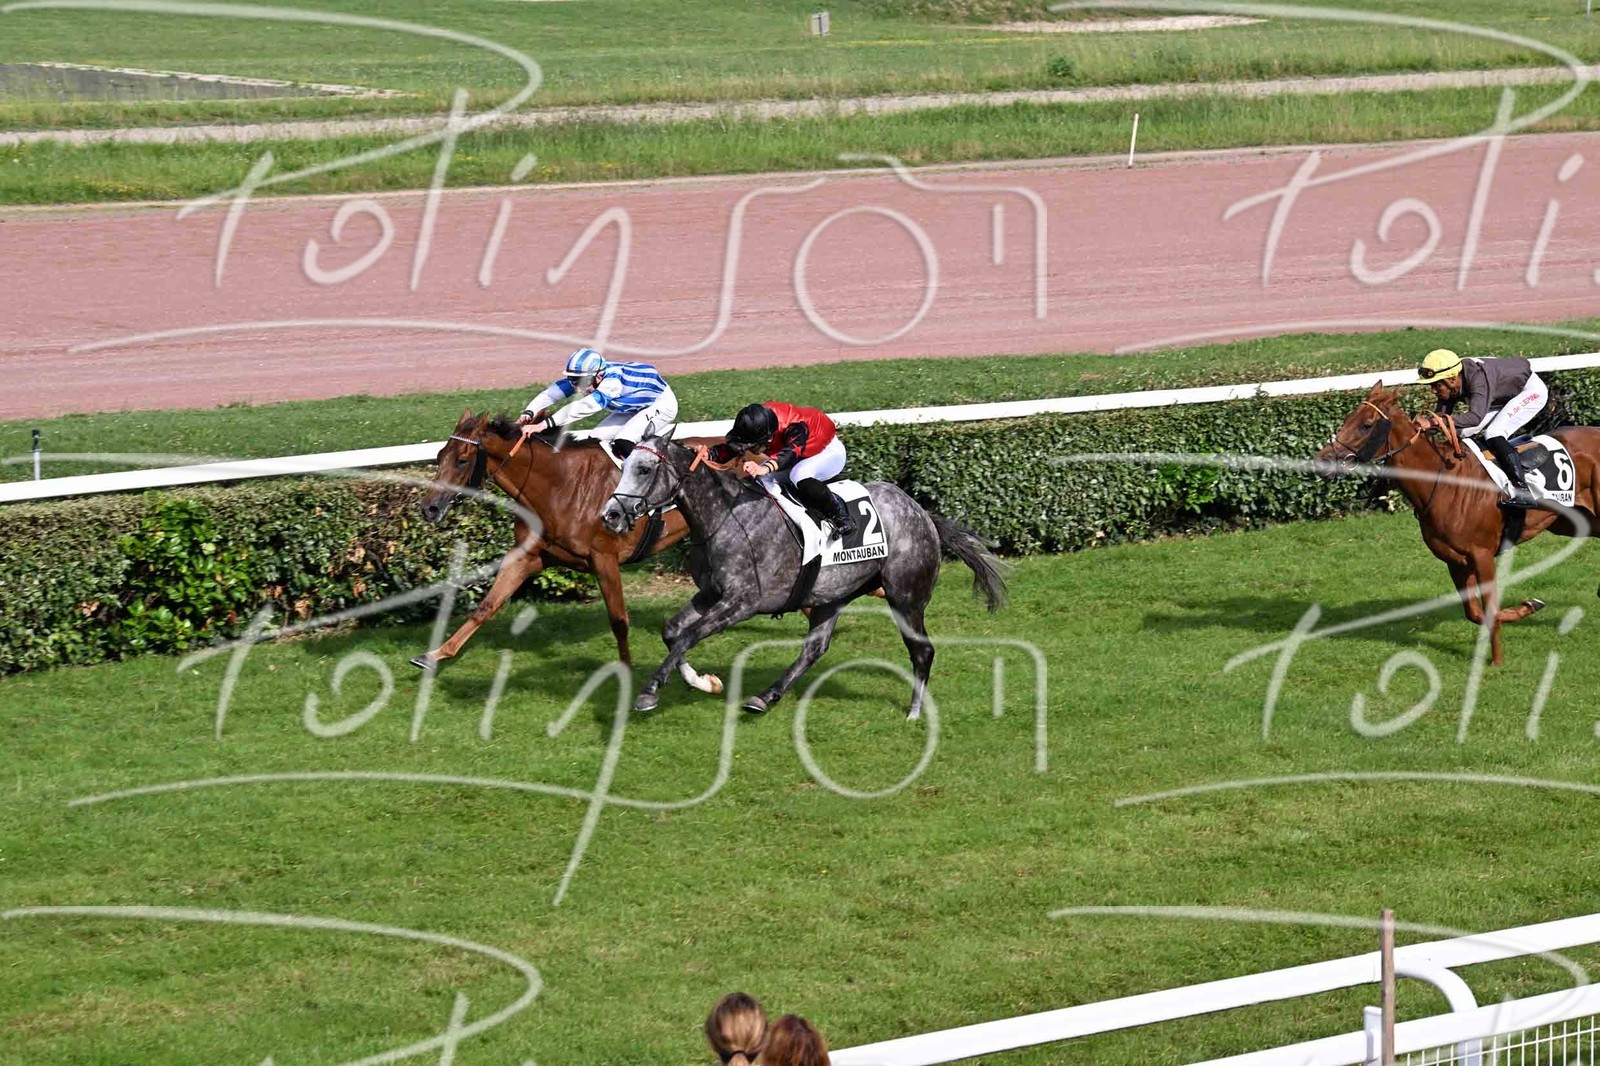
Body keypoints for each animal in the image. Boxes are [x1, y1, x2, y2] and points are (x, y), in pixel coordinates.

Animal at [412, 411, 718, 675]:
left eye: (462, 460)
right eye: (440, 456)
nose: (429, 508)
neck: (561, 486)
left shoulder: (604, 558)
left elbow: (619, 621)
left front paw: (625, 673)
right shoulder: (529, 556)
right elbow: (487, 606)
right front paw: (435, 654)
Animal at [598, 432, 1008, 717]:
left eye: (644, 469)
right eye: (624, 466)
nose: (611, 515)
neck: (724, 517)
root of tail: (922, 512)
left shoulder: (742, 602)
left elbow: (687, 636)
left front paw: (649, 692)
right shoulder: (710, 594)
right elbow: (672, 632)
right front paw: (704, 682)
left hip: (905, 598)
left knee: (922, 650)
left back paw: (913, 711)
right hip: (832, 595)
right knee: (815, 647)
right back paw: (765, 697)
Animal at [1316, 383, 1600, 665]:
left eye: (1366, 425)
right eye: (1346, 419)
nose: (1323, 461)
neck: (1445, 483)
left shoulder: (1482, 555)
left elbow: (1490, 611)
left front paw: (1497, 663)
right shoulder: (1455, 560)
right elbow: (1475, 613)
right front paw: (1528, 606)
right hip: (1573, 522)